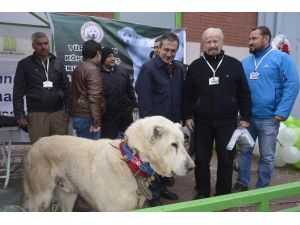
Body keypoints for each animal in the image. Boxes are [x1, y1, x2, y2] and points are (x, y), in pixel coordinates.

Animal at [22, 115, 193, 212]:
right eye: (173, 145)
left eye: (184, 142)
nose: (192, 167)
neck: (131, 162)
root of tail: (35, 144)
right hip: (43, 198)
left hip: (69, 194)